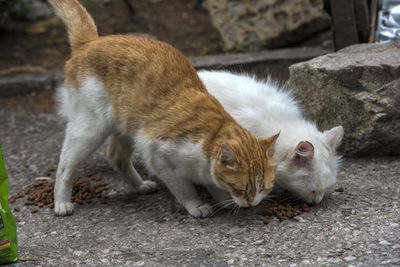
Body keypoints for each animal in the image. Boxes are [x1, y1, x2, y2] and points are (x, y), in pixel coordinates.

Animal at [49, 0, 278, 218]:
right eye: (242, 188)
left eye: (264, 188)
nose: (252, 203)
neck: (210, 137)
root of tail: (91, 41)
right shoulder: (159, 157)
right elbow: (184, 189)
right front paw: (198, 205)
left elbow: (213, 184)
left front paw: (223, 199)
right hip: (89, 129)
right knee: (65, 166)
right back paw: (62, 203)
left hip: (127, 127)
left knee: (116, 157)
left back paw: (141, 186)